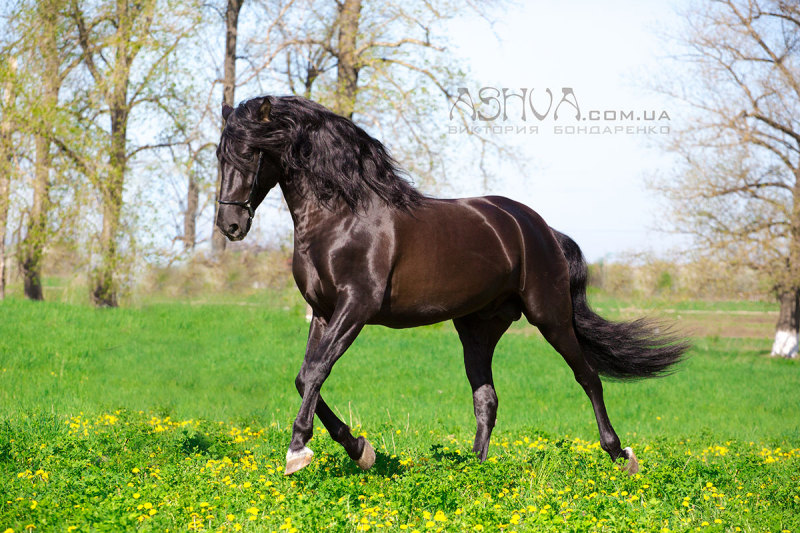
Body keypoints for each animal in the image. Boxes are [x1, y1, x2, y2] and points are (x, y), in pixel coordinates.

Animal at [214, 94, 688, 474]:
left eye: (251, 153)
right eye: (220, 155)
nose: (230, 225)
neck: (343, 216)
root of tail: (539, 228)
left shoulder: (356, 308)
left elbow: (314, 372)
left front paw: (298, 452)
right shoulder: (324, 313)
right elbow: (307, 376)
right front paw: (360, 450)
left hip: (549, 315)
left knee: (587, 376)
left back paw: (621, 455)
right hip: (478, 327)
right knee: (486, 398)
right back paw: (473, 470)